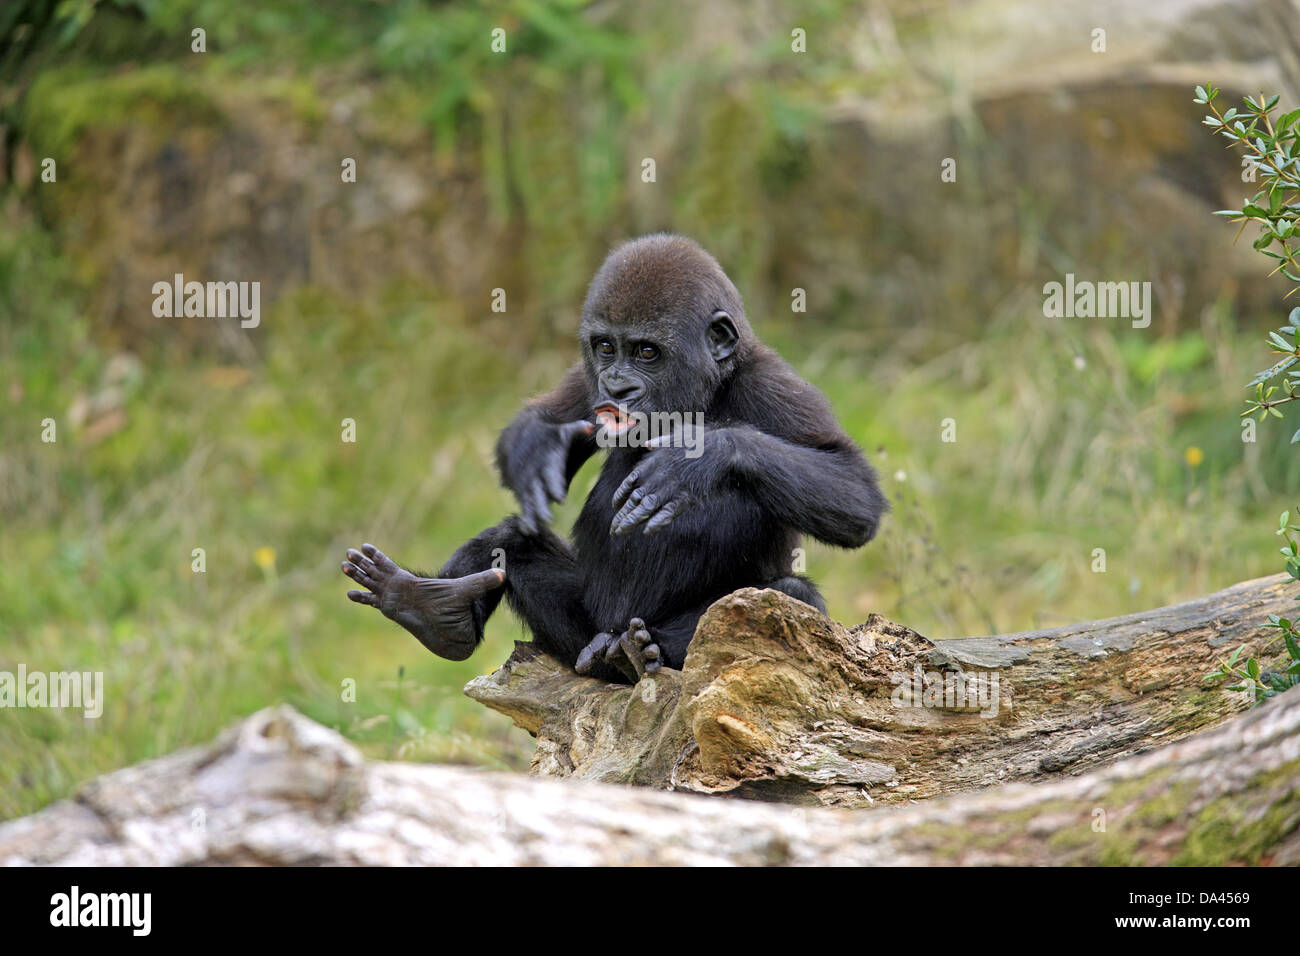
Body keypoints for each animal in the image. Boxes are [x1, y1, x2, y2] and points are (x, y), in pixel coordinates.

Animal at [342, 233, 888, 684]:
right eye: (606, 347)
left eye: (646, 352)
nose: (618, 388)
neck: (707, 391)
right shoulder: (589, 383)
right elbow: (537, 420)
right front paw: (540, 454)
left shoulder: (777, 388)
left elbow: (854, 493)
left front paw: (694, 459)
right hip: (578, 635)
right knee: (509, 544)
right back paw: (434, 611)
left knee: (786, 596)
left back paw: (639, 651)